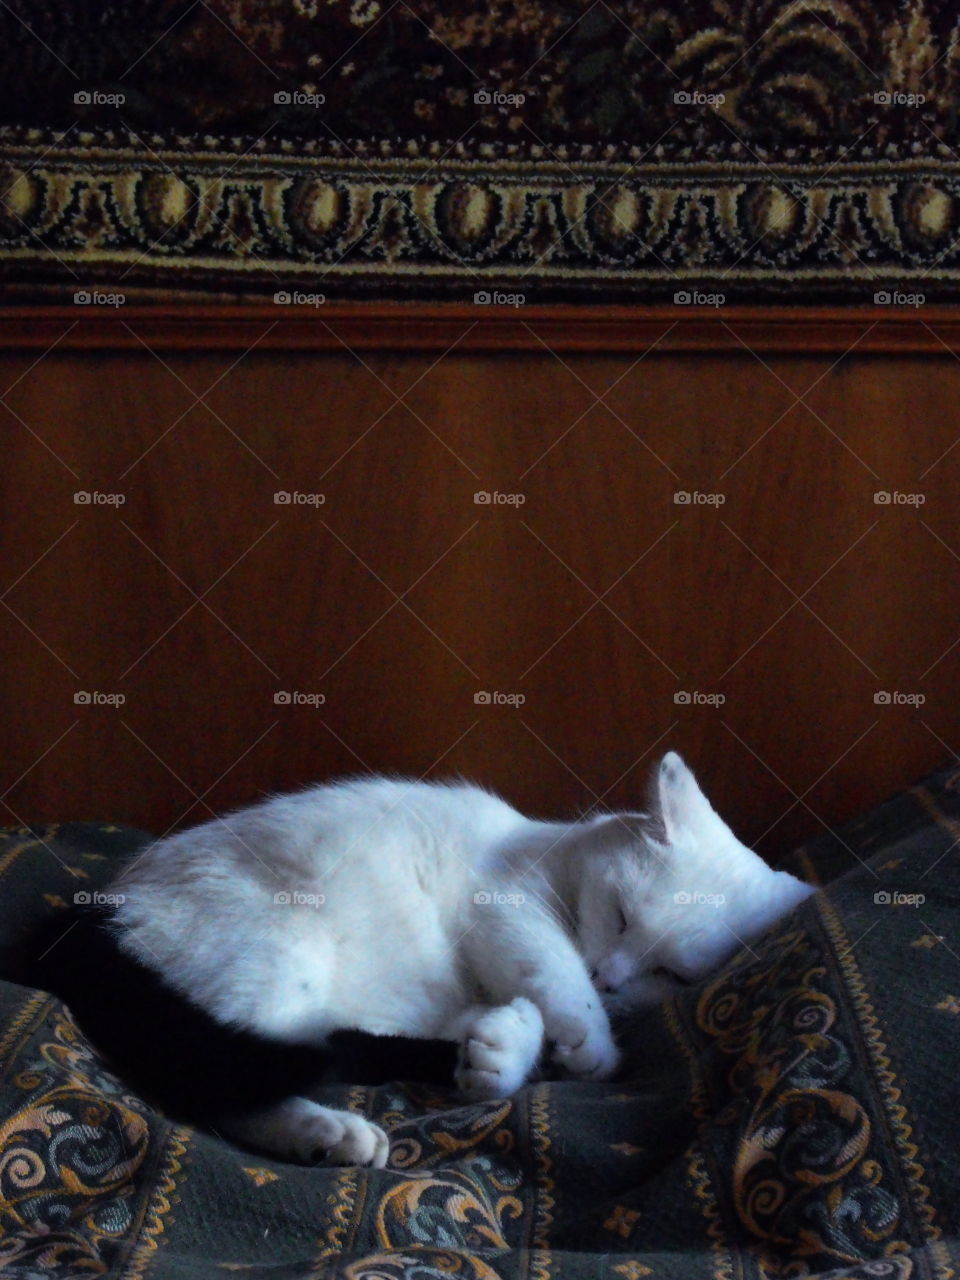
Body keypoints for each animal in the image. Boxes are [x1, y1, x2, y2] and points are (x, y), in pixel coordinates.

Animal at [88, 747, 819, 1172]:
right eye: (619, 914)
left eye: (671, 975)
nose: (608, 977)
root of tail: (110, 909)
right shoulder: (506, 908)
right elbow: (554, 972)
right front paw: (588, 1038)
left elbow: (497, 1031)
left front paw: (505, 1051)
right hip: (276, 964)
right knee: (215, 1084)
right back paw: (333, 1131)